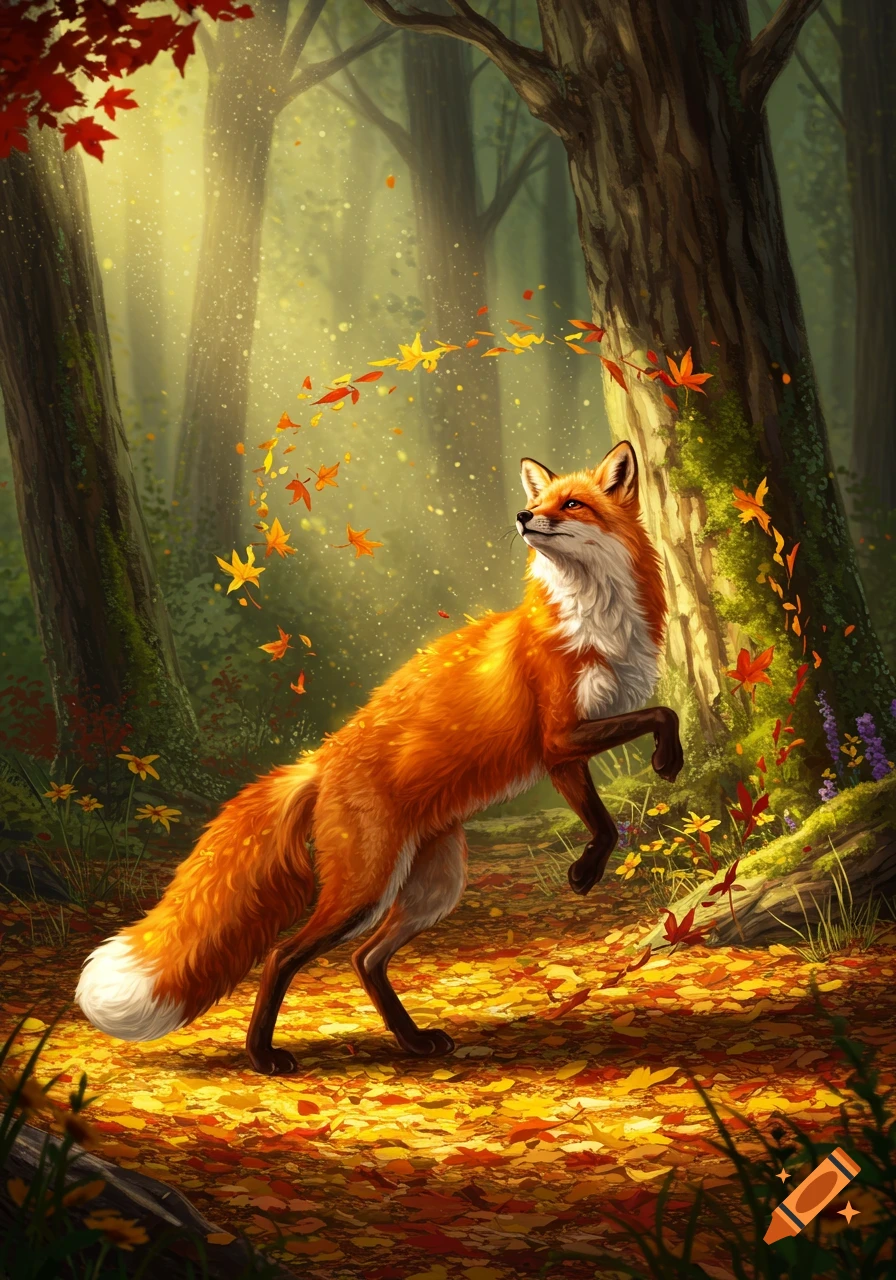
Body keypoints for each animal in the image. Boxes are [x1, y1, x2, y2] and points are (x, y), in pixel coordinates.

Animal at [75, 440, 683, 1075]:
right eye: (538, 503)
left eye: (571, 504)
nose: (522, 517)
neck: (594, 619)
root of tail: (321, 759)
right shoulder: (559, 736)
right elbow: (656, 725)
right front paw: (647, 790)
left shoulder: (562, 752)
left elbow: (605, 812)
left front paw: (594, 860)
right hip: (364, 889)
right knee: (283, 955)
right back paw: (264, 1055)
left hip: (432, 887)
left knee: (364, 959)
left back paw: (412, 1042)